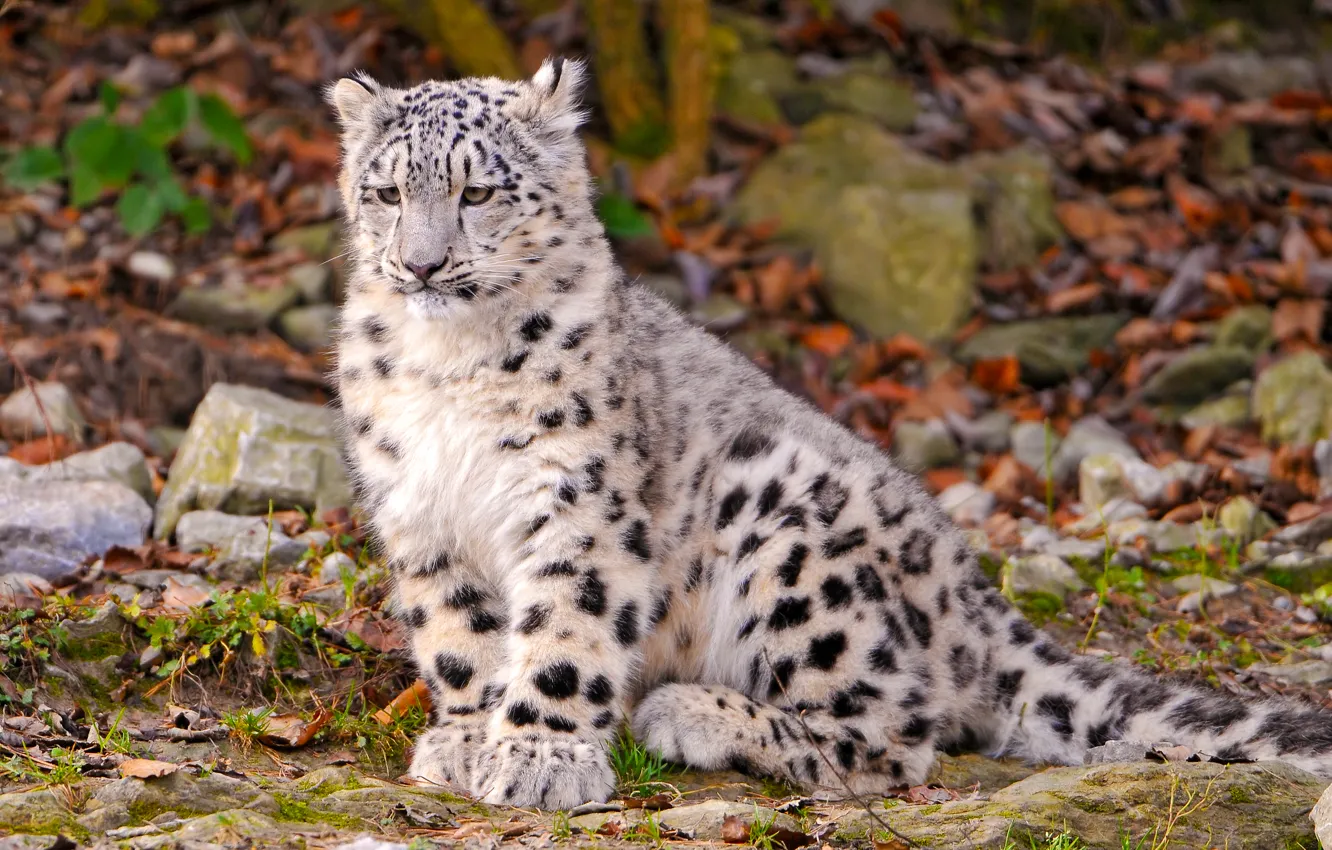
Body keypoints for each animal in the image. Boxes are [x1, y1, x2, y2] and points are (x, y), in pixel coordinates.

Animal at [328, 58, 1332, 811]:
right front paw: (467, 738)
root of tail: (972, 596)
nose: (421, 263)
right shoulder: (420, 509)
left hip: (787, 533)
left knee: (895, 734)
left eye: (478, 191)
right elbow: (459, 635)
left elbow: (566, 630)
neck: (450, 366)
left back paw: (692, 715)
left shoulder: (576, 501)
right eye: (385, 192)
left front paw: (540, 758)